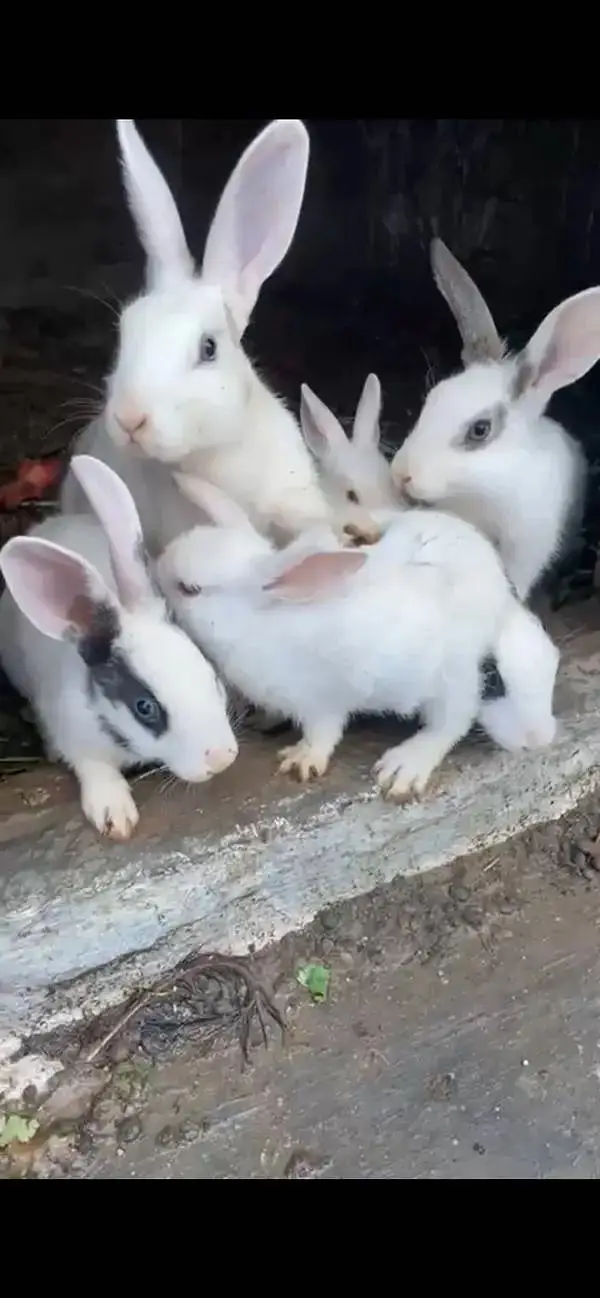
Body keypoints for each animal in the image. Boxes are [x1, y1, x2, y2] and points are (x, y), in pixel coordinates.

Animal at [0, 456, 239, 841]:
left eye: (209, 673)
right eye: (145, 707)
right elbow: (95, 769)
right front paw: (115, 816)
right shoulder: (75, 736)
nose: (221, 758)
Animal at [155, 478, 560, 803]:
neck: (253, 622)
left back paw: (404, 768)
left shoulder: (317, 700)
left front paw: (300, 761)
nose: (156, 567)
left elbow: (323, 733)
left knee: (449, 724)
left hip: (453, 679)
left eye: (189, 588)